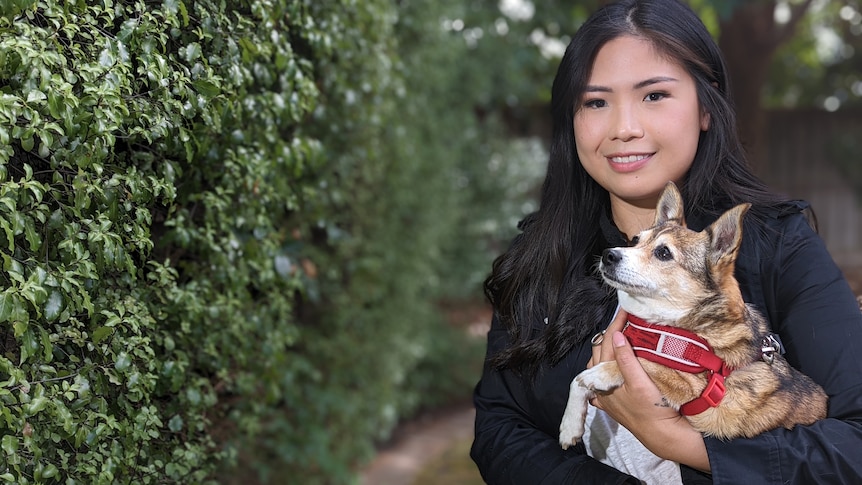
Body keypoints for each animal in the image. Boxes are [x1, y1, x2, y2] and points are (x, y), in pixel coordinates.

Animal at [560, 182, 832, 450]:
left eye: (663, 253)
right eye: (635, 240)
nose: (609, 254)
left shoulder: (693, 388)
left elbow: (643, 362)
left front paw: (598, 374)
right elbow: (575, 382)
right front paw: (570, 426)